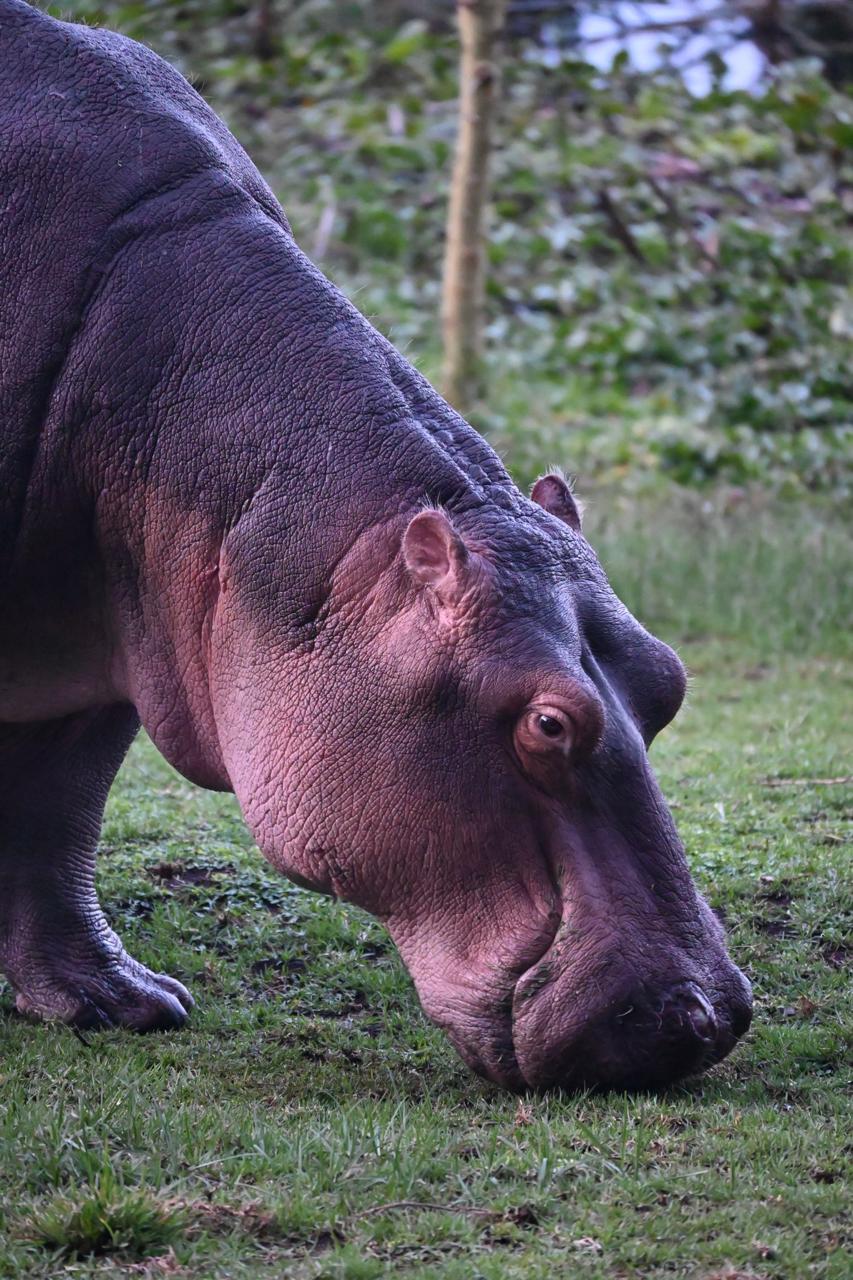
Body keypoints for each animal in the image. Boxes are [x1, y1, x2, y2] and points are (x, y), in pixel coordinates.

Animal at [0, 0, 751, 1091]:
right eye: (549, 722)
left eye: (671, 679)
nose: (702, 1017)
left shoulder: (111, 629)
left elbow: (56, 813)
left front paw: (118, 1004)